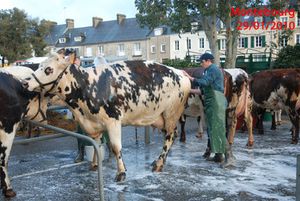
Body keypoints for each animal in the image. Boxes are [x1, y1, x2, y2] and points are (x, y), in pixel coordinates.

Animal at [23, 53, 191, 182]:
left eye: (48, 69)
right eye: (39, 66)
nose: (25, 82)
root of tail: (181, 73)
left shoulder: (113, 121)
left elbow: (116, 147)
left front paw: (121, 173)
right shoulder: (93, 123)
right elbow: (96, 145)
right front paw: (94, 165)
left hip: (171, 113)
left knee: (170, 136)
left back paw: (159, 163)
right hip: (160, 117)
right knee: (171, 135)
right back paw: (158, 160)